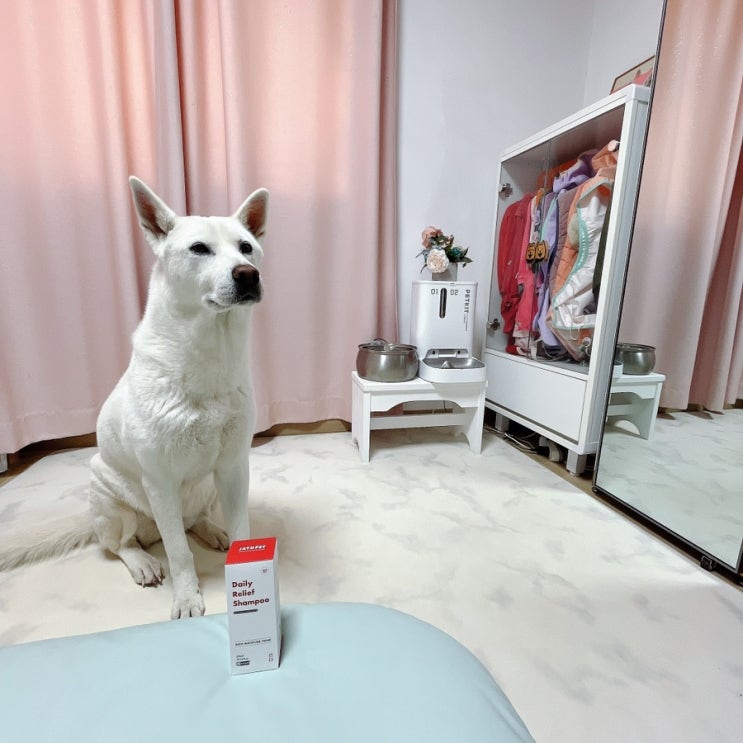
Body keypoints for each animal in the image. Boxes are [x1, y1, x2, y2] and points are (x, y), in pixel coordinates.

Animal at [0, 177, 268, 619]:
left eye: (246, 247)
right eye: (199, 248)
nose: (249, 275)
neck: (209, 350)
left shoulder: (233, 467)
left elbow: (241, 530)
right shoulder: (159, 481)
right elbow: (178, 553)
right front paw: (187, 598)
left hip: (207, 489)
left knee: (191, 522)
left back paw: (212, 530)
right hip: (110, 497)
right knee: (121, 545)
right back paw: (143, 561)